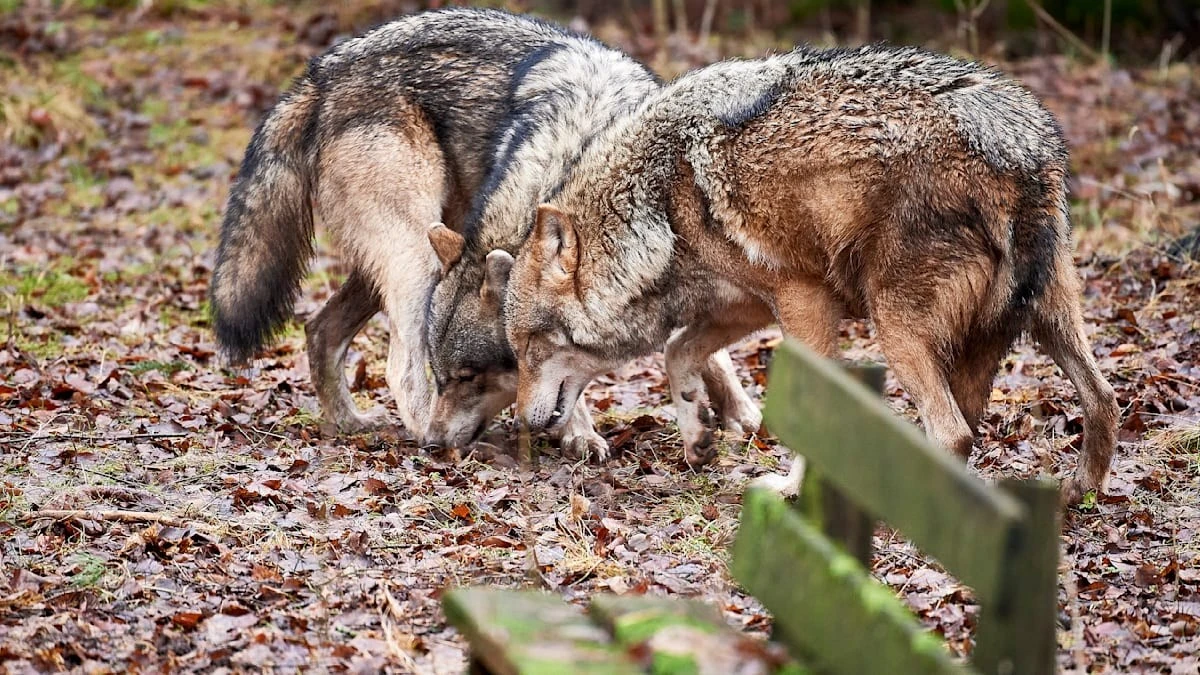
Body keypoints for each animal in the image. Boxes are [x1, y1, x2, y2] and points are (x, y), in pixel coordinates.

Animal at [500, 45, 1120, 503]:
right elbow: (677, 352)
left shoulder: (803, 302)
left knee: (954, 432)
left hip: (896, 327)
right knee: (1103, 398)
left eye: (529, 347)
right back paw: (1079, 494)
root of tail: (1017, 145)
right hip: (1048, 321)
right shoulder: (746, 304)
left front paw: (790, 487)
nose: (526, 423)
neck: (656, 205)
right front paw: (698, 436)